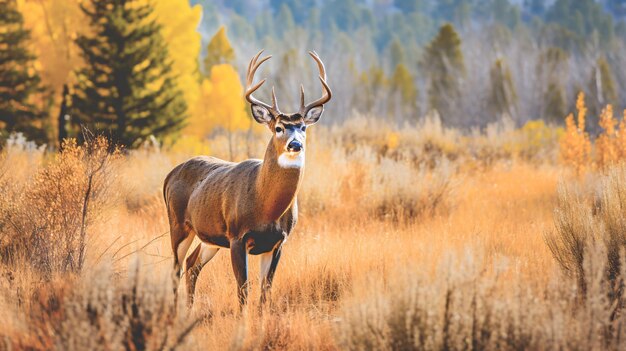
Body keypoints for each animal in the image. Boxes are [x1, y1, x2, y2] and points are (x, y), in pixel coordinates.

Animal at [165, 50, 332, 308]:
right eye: (279, 128)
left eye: (303, 127)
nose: (295, 144)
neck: (266, 206)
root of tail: (170, 175)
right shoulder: (237, 236)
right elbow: (243, 290)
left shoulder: (277, 243)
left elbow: (265, 292)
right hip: (178, 225)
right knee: (176, 267)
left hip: (210, 238)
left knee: (192, 265)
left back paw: (189, 309)